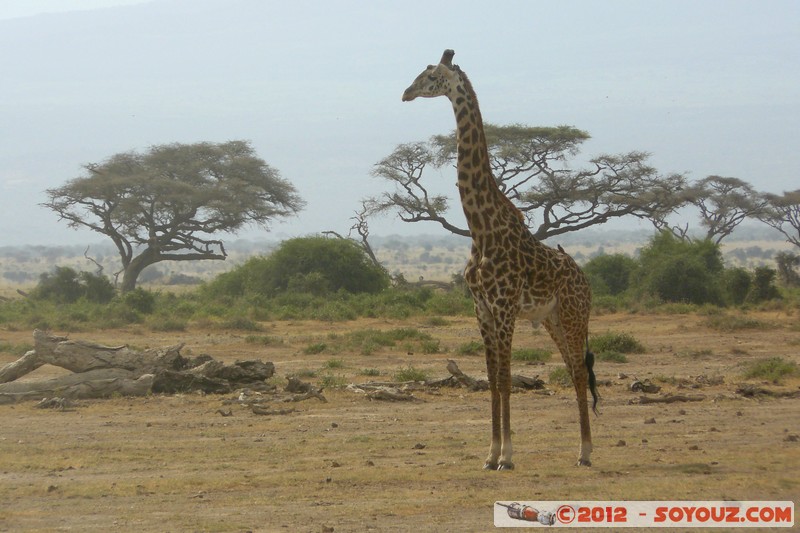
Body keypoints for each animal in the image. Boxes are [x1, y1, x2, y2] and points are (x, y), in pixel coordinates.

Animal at [404, 47, 596, 468]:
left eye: (432, 77)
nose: (406, 93)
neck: (481, 228)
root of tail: (585, 279)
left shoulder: (505, 307)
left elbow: (508, 379)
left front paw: (507, 455)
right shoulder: (482, 309)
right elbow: (492, 380)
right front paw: (490, 454)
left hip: (574, 315)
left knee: (578, 372)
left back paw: (585, 452)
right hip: (553, 319)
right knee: (574, 368)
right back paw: (582, 449)